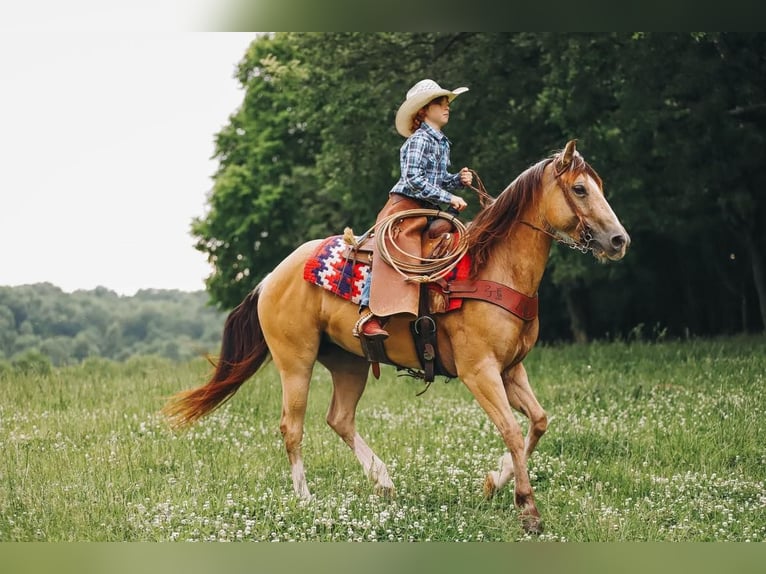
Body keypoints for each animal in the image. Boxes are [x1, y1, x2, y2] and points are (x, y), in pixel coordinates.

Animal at [162, 140, 632, 536]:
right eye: (580, 189)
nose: (618, 240)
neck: (492, 268)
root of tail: (270, 277)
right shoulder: (479, 372)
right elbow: (513, 432)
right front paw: (527, 509)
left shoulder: (511, 370)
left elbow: (538, 422)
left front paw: (491, 483)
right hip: (295, 361)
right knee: (291, 427)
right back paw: (306, 499)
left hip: (348, 363)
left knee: (339, 418)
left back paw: (383, 481)